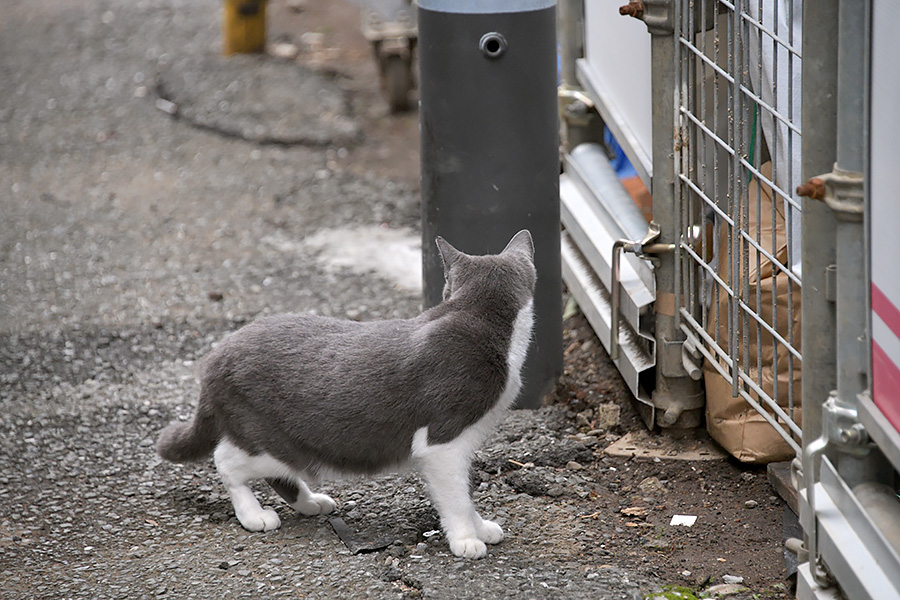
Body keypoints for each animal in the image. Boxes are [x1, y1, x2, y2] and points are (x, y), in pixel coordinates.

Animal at [156, 230, 536, 556]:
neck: (478, 316)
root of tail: (216, 357)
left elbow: (465, 492)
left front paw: (481, 527)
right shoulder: (443, 441)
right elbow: (456, 496)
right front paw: (466, 540)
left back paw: (311, 503)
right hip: (272, 440)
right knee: (227, 460)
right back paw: (254, 515)